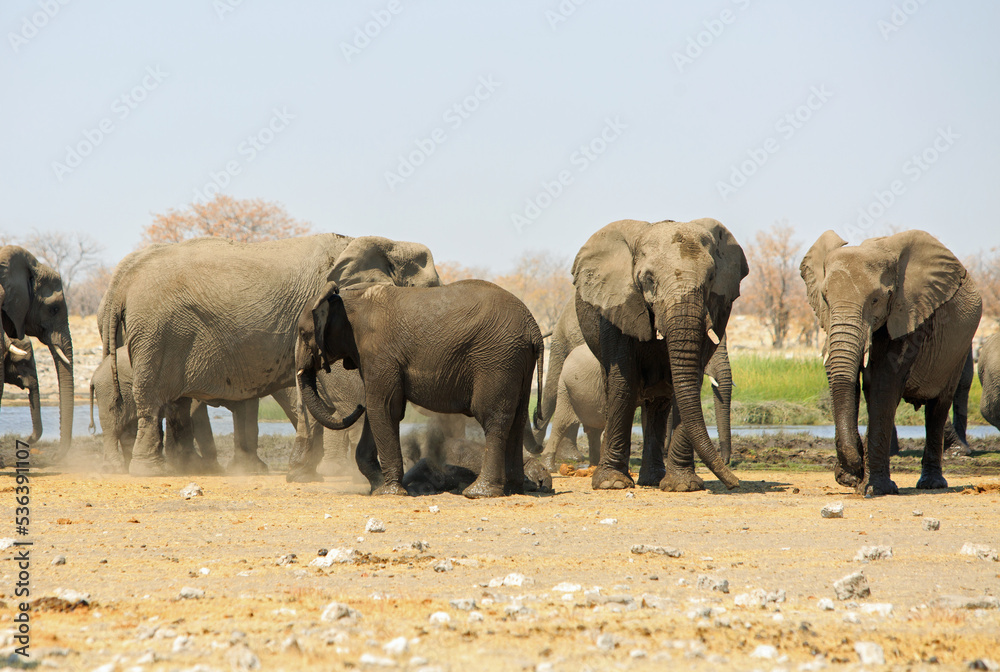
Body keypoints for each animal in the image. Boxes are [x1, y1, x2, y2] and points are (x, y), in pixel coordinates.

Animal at [101, 234, 439, 478]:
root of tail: (122, 280)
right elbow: (349, 391)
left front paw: (303, 473)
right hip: (156, 334)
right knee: (153, 401)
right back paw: (151, 472)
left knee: (177, 405)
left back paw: (192, 469)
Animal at [296, 279, 544, 498]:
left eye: (302, 333)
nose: (357, 406)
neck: (346, 298)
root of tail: (534, 327)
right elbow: (379, 410)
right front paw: (378, 487)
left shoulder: (380, 353)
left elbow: (383, 408)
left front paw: (389, 492)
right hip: (517, 360)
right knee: (518, 419)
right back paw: (512, 490)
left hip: (497, 359)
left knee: (493, 418)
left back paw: (478, 493)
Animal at [571, 218, 746, 492]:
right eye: (648, 279)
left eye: (710, 278)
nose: (734, 483)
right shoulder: (618, 305)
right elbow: (623, 382)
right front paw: (612, 483)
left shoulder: (717, 309)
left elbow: (690, 380)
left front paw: (683, 486)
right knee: (616, 388)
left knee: (659, 403)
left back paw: (652, 479)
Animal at [800, 230, 982, 496]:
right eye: (825, 298)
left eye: (876, 300)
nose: (851, 474)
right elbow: (855, 383)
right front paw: (853, 478)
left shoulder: (909, 313)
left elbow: (882, 386)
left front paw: (874, 488)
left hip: (958, 348)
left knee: (938, 407)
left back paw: (931, 484)